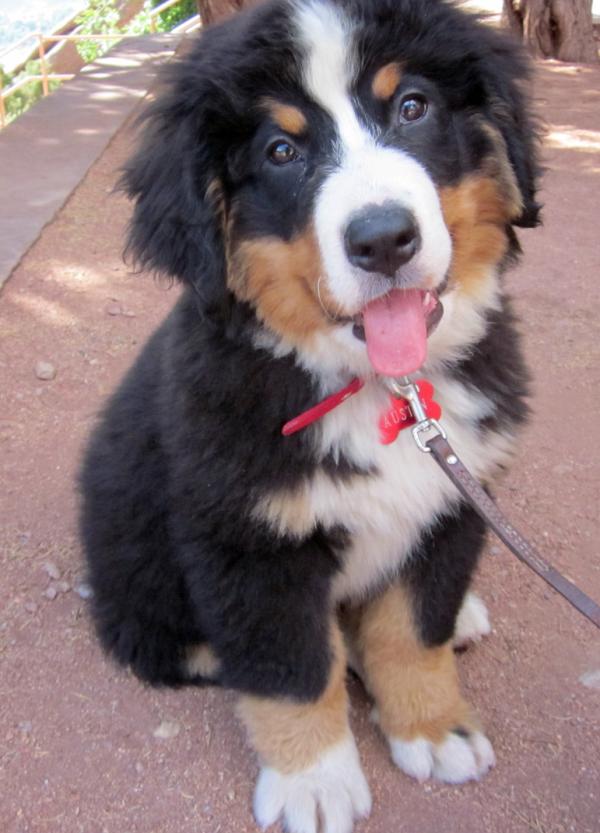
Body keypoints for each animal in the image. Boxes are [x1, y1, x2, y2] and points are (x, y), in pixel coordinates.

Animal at [78, 3, 540, 828]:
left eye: (412, 107)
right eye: (282, 149)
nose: (383, 238)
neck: (384, 389)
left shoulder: (454, 499)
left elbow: (413, 629)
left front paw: (432, 726)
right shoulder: (248, 539)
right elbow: (292, 666)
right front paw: (314, 780)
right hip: (136, 566)